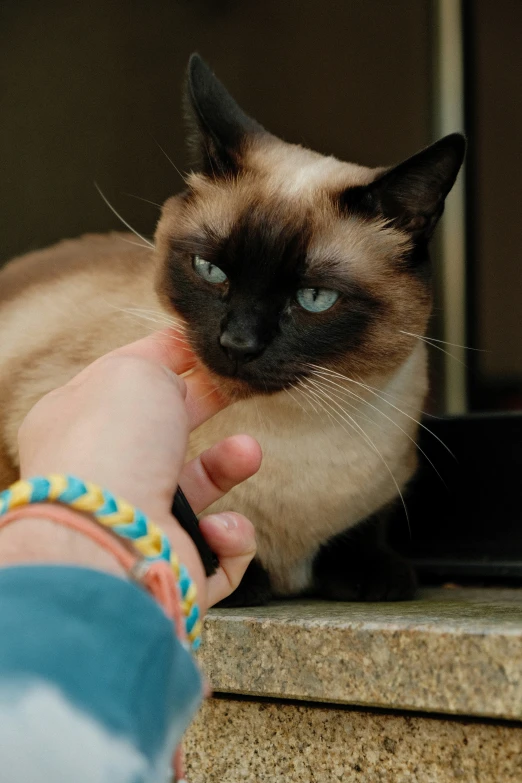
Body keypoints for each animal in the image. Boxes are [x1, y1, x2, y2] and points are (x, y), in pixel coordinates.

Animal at [0, 55, 464, 608]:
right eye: (210, 270)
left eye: (314, 298)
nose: (238, 344)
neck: (293, 438)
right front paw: (242, 580)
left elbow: (363, 534)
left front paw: (376, 574)